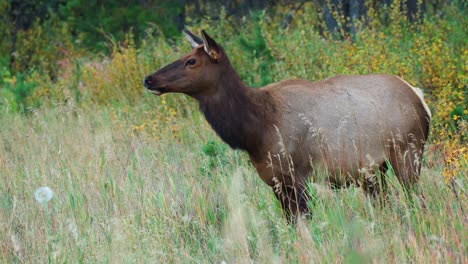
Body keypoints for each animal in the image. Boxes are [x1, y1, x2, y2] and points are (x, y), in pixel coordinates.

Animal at [144, 28, 432, 220]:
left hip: (407, 152)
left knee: (417, 199)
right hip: (373, 170)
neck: (255, 131)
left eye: (191, 61)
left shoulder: (300, 175)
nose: (149, 79)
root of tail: (419, 97)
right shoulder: (275, 180)